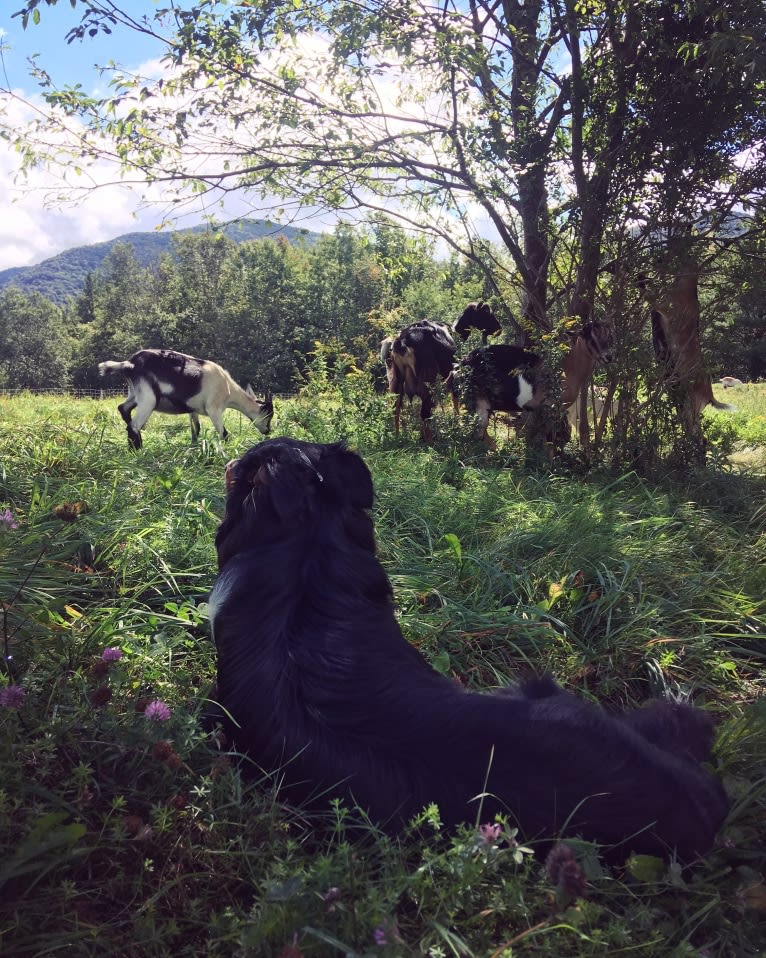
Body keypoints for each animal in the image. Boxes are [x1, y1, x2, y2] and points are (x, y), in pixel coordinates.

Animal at [97, 348, 274, 450]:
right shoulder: (214, 409)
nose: (268, 431)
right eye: (268, 414)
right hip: (148, 398)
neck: (228, 389)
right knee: (133, 425)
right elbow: (224, 433)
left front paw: (194, 446)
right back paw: (138, 450)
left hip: (134, 394)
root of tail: (129, 364)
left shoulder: (193, 409)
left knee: (123, 408)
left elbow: (196, 430)